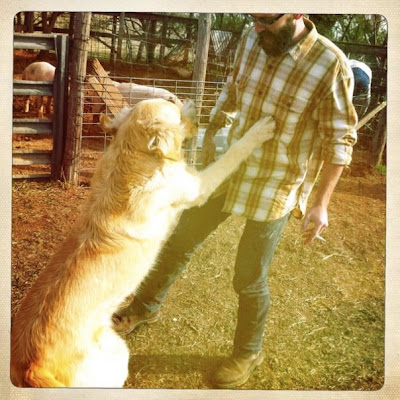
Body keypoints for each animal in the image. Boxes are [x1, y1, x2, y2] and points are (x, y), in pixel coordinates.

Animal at [11, 98, 275, 387]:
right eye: (172, 103)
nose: (189, 100)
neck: (130, 154)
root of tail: (31, 368)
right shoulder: (198, 186)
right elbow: (232, 155)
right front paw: (259, 131)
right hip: (117, 353)